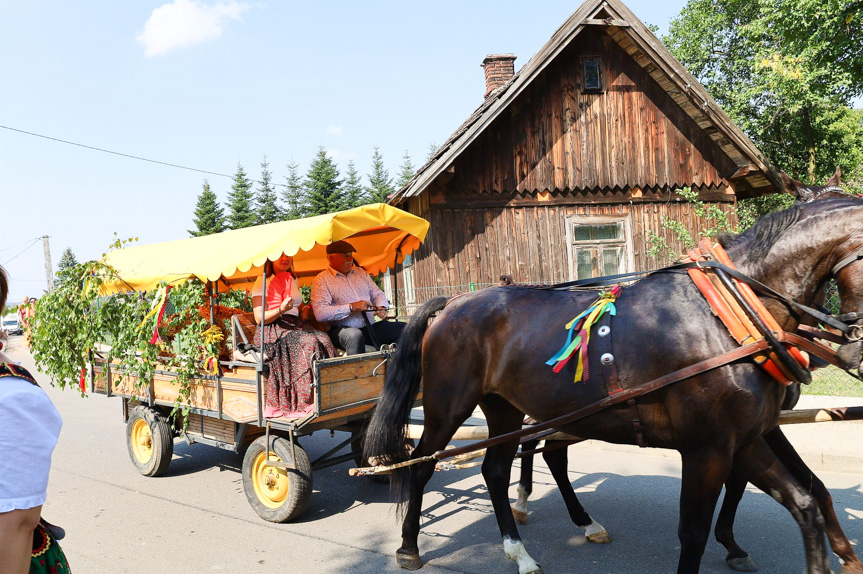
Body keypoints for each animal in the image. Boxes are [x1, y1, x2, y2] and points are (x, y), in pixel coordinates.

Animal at [368, 196, 863, 572]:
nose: (854, 349)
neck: (727, 316)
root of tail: (454, 302)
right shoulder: (707, 447)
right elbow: (694, 531)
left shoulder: (742, 439)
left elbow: (806, 499)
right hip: (447, 406)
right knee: (422, 465)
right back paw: (409, 546)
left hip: (508, 408)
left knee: (496, 469)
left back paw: (522, 550)